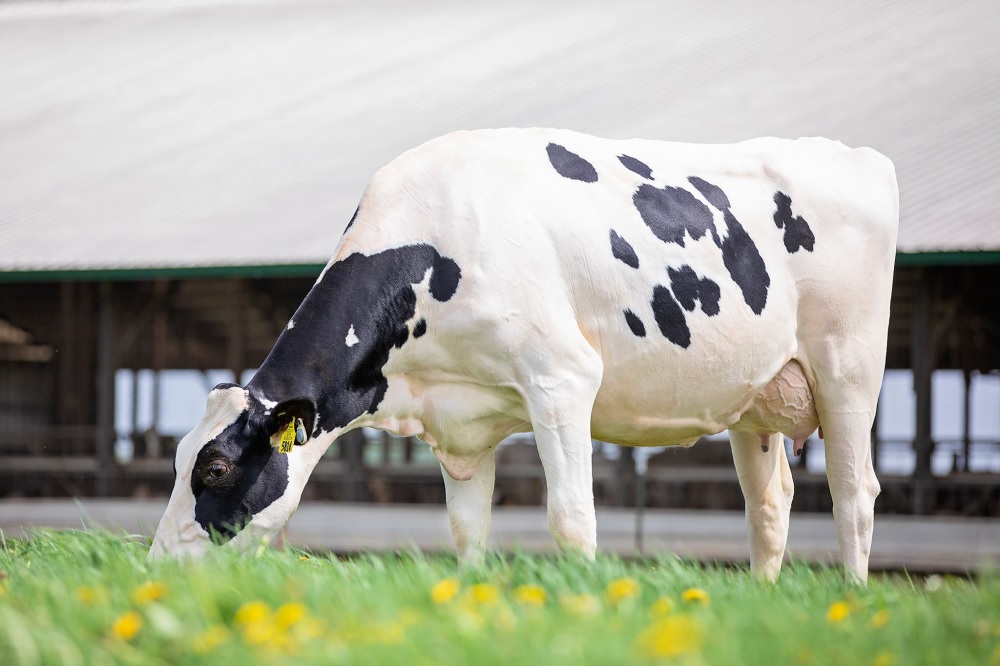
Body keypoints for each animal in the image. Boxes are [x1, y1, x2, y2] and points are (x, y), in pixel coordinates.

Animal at [150, 128, 900, 580]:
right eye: (178, 459)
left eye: (214, 469)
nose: (155, 566)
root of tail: (861, 156)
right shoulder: (458, 424)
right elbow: (466, 532)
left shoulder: (560, 380)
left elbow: (572, 520)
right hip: (756, 399)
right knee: (770, 507)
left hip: (848, 371)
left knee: (853, 494)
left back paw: (854, 598)